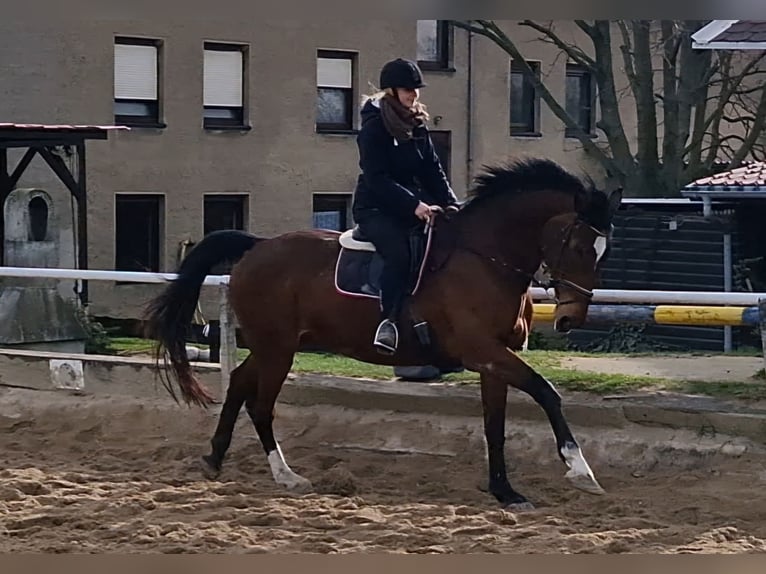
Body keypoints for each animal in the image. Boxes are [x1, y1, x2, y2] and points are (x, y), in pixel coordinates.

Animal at [142, 155, 624, 510]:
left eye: (605, 251)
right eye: (578, 245)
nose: (570, 319)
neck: (484, 257)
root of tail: (256, 246)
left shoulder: (493, 359)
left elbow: (495, 426)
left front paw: (504, 491)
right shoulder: (482, 349)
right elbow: (546, 392)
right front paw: (579, 469)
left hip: (273, 344)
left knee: (241, 384)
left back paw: (214, 458)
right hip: (277, 348)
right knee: (260, 404)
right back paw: (286, 476)